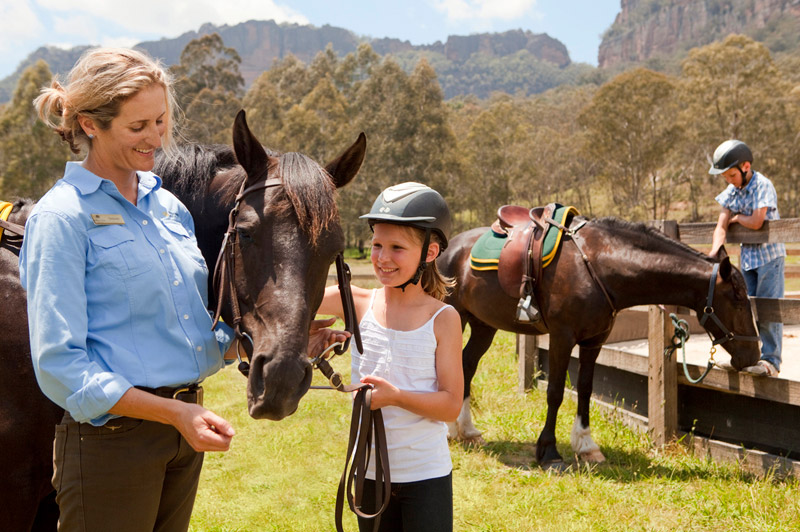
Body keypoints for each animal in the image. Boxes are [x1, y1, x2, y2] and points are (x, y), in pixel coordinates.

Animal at [440, 216, 760, 470]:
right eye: (738, 299)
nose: (753, 355)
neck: (599, 265)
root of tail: (450, 248)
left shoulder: (594, 341)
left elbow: (585, 389)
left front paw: (586, 446)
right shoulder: (561, 338)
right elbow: (556, 392)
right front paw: (549, 451)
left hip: (484, 326)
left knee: (467, 365)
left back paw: (465, 430)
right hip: (456, 316)